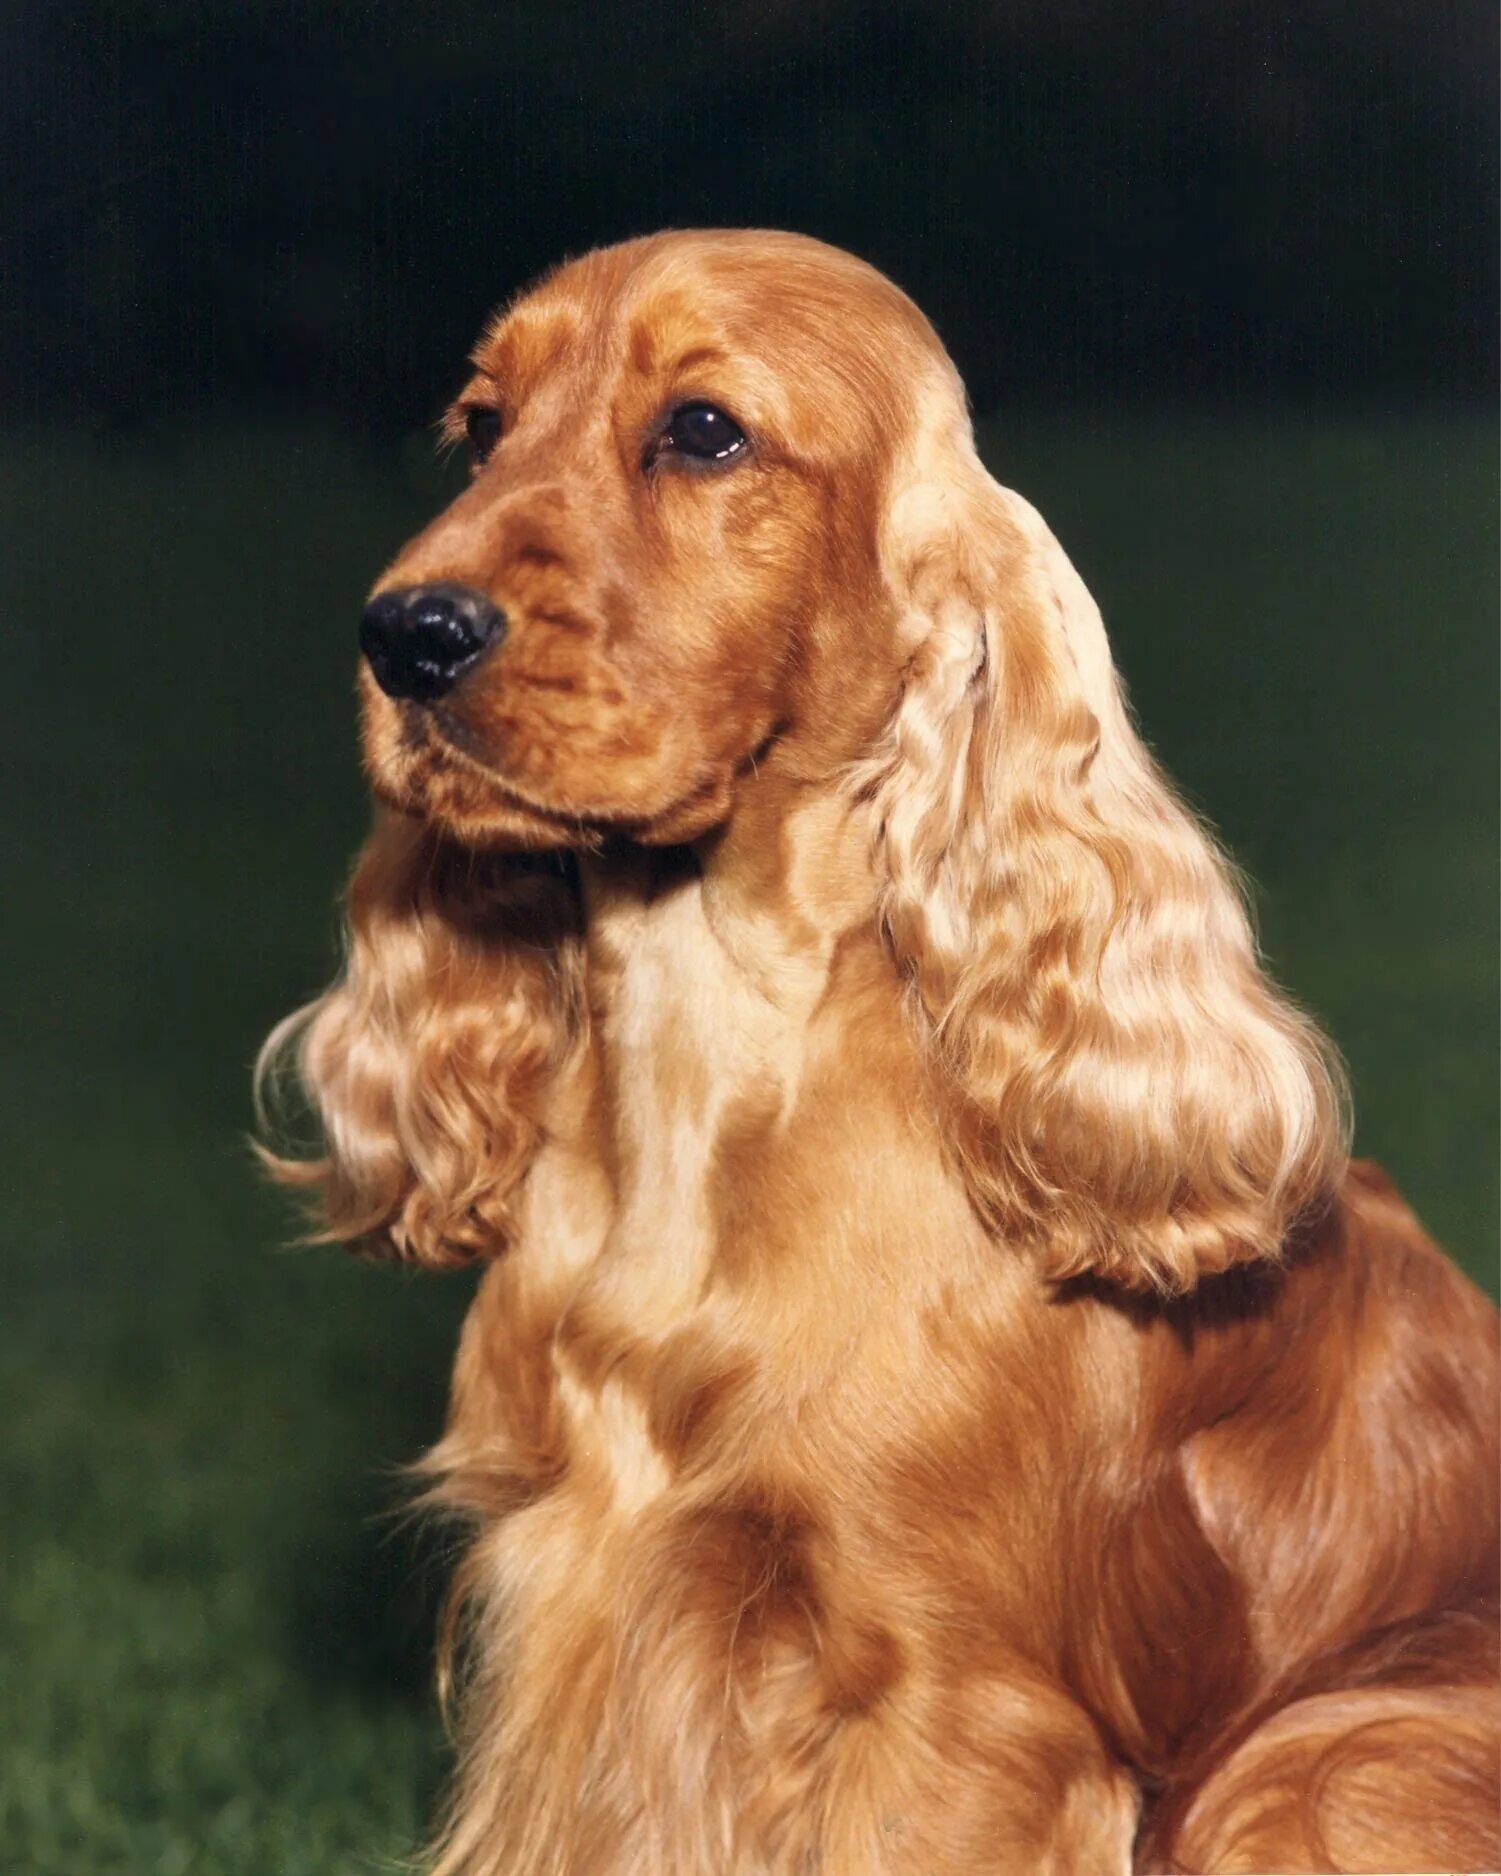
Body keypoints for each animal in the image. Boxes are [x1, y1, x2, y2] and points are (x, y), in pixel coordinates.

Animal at [260, 226, 1501, 1868]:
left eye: (703, 430)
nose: (404, 634)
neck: (705, 1061)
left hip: (1319, 1759)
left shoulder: (948, 1700)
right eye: (481, 426)